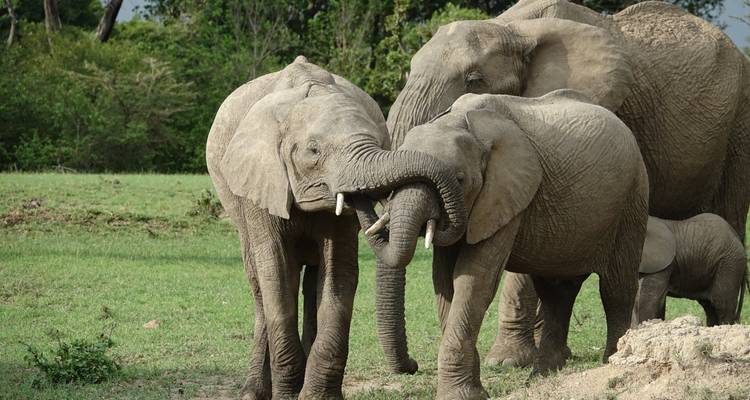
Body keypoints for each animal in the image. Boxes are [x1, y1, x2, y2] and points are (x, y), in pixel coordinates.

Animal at [205, 56, 467, 399]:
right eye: (313, 151)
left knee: (311, 279)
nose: (414, 365)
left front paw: (317, 396)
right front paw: (287, 395)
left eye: (378, 142)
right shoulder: (260, 183)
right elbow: (275, 271)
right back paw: (253, 391)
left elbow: (339, 272)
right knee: (261, 283)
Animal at [355, 90, 649, 398]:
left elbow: (473, 280)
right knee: (556, 290)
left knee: (615, 287)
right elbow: (444, 282)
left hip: (633, 198)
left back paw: (612, 361)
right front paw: (474, 391)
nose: (412, 365)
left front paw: (462, 395)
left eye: (460, 180)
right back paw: (543, 375)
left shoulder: (504, 194)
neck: (459, 123)